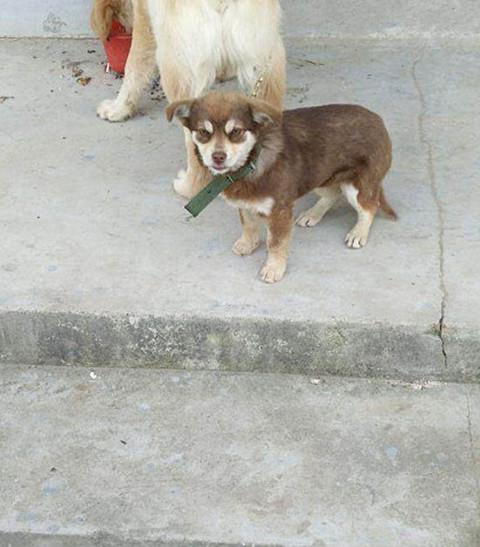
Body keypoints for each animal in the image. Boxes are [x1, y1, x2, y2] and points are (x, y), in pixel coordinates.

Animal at [90, 0, 286, 199]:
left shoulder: (145, 16)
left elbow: (134, 64)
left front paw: (118, 108)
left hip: (178, 66)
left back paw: (190, 187)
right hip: (267, 63)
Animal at [166, 92, 395, 283]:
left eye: (237, 132)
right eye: (203, 132)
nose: (218, 157)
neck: (250, 163)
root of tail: (378, 119)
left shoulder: (280, 210)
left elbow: (275, 243)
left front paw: (273, 268)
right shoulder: (244, 203)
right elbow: (248, 225)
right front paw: (248, 243)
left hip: (357, 185)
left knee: (369, 206)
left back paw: (358, 233)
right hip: (318, 176)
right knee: (332, 193)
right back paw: (312, 214)